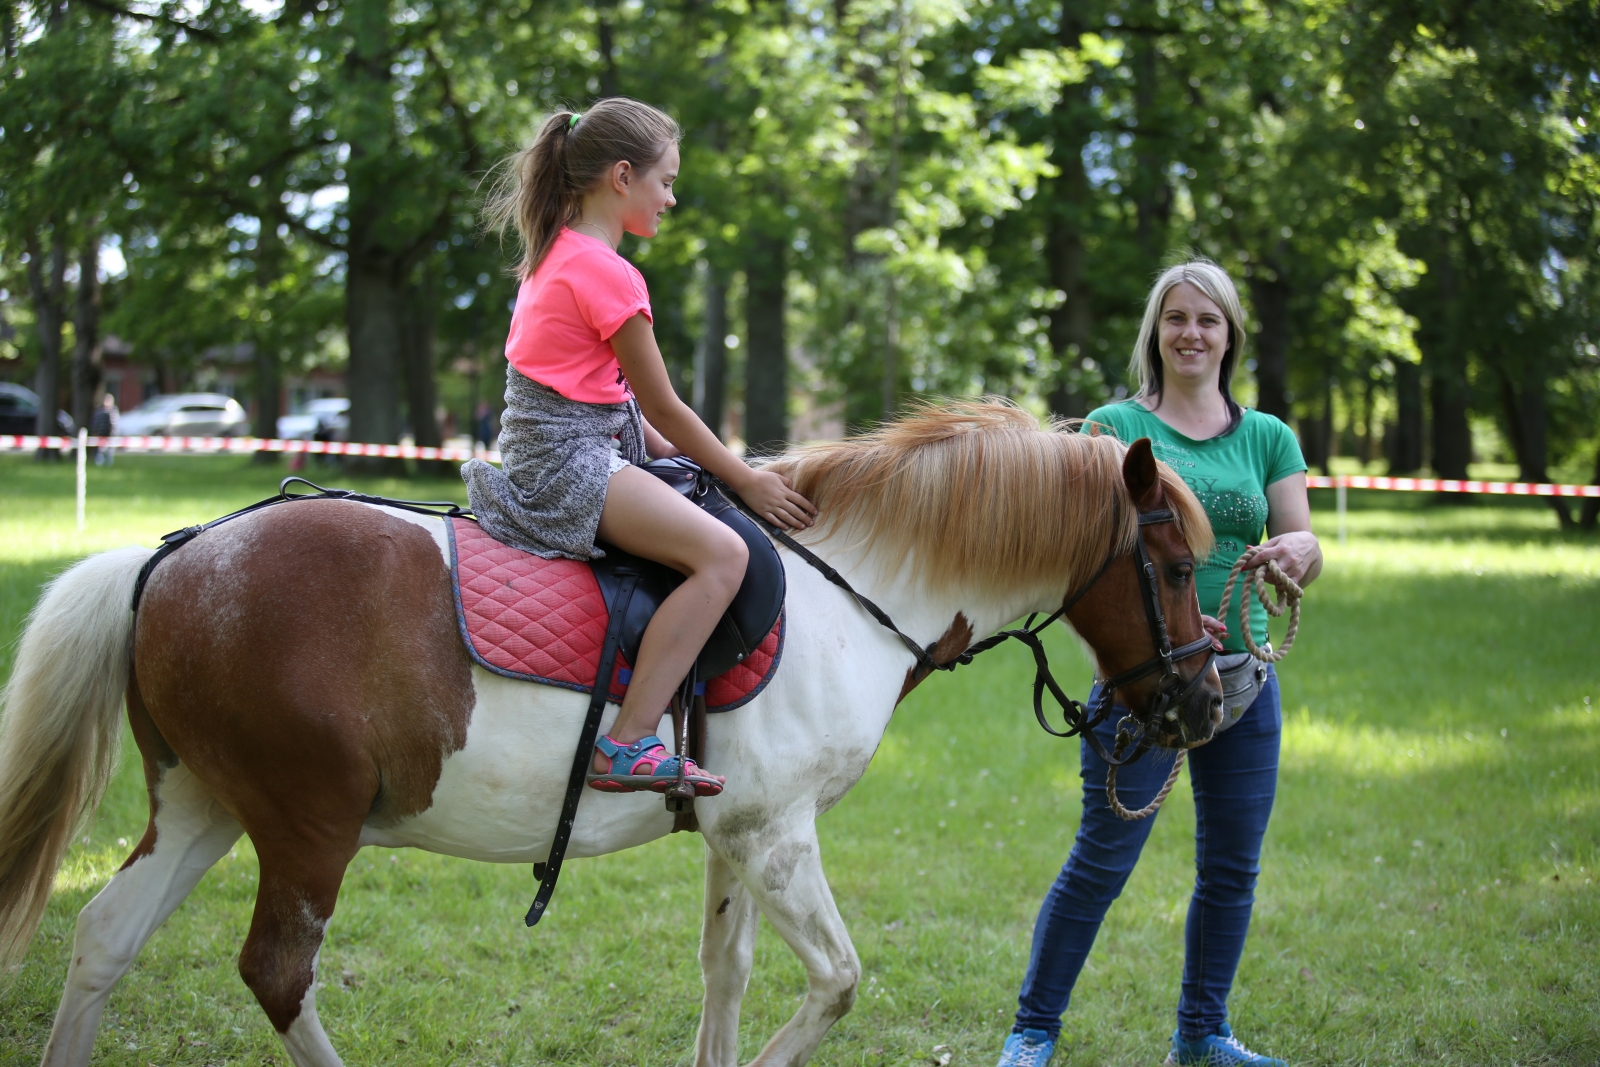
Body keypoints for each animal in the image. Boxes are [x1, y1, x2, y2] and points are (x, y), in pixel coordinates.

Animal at [0, 399, 1209, 1067]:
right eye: (1176, 565)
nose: (1206, 703)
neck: (848, 590)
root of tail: (173, 555)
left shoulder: (737, 836)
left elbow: (725, 971)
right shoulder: (778, 836)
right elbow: (835, 981)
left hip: (203, 805)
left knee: (103, 937)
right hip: (306, 828)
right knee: (278, 971)